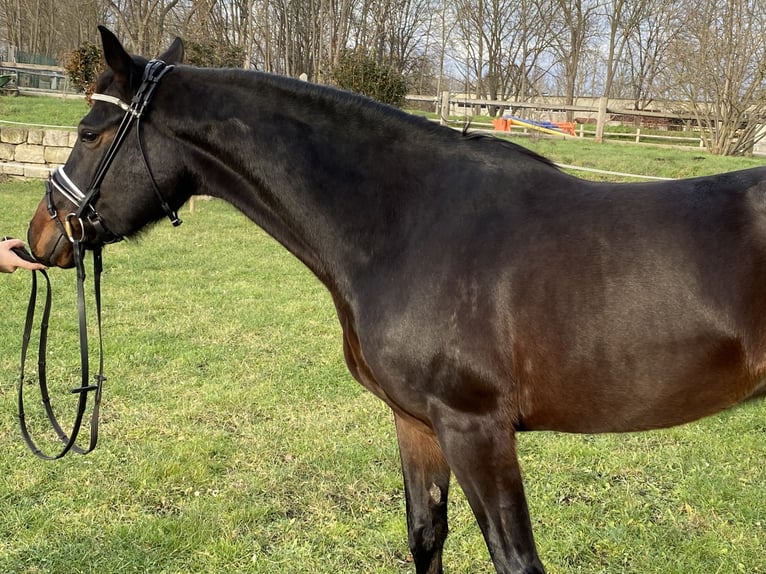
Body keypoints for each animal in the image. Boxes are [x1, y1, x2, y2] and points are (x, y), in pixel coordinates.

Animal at [27, 27, 766, 574]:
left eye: (90, 133)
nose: (40, 236)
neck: (408, 224)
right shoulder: (417, 423)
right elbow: (424, 536)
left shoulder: (475, 429)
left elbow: (514, 559)